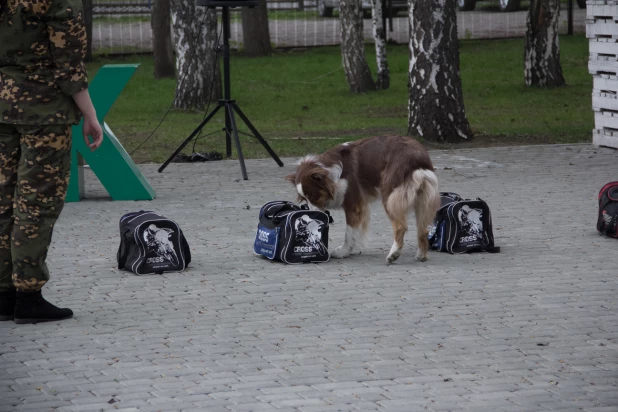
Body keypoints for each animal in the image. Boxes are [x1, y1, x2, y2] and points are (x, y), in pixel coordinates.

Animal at [286, 135, 438, 264]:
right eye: (304, 199)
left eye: (314, 195)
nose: (313, 216)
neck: (332, 174)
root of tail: (417, 157)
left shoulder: (353, 204)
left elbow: (349, 232)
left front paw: (343, 251)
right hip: (421, 198)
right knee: (423, 229)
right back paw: (421, 255)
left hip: (390, 196)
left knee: (400, 226)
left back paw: (393, 254)